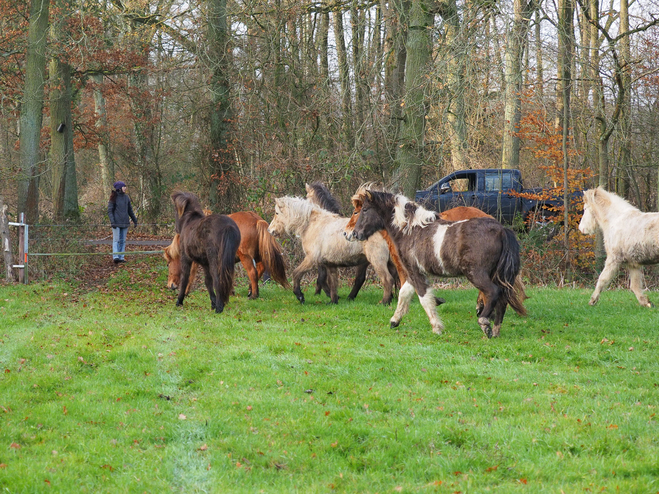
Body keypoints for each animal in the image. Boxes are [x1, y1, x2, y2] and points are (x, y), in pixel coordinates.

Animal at [270, 196, 398, 304]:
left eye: (276, 213)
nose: (270, 230)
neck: (312, 224)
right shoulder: (330, 264)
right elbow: (333, 283)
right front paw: (333, 301)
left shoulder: (311, 259)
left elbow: (296, 273)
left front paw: (300, 296)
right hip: (390, 263)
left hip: (377, 261)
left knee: (387, 280)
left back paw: (384, 302)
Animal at [346, 187, 524, 338]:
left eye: (363, 210)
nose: (354, 234)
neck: (411, 231)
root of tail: (501, 230)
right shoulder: (413, 272)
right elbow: (404, 294)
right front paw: (394, 321)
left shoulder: (414, 272)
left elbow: (424, 298)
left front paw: (436, 327)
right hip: (495, 275)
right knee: (502, 299)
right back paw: (495, 331)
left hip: (477, 274)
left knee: (493, 292)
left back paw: (484, 322)